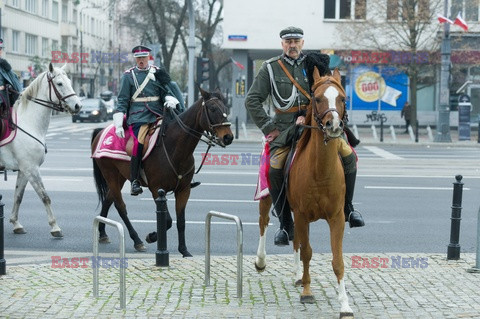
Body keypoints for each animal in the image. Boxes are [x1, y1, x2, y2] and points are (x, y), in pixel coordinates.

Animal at [0, 63, 81, 238]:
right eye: (59, 84)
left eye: (70, 81)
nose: (78, 106)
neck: (28, 123)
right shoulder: (32, 169)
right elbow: (45, 197)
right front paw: (55, 227)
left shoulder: (24, 170)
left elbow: (18, 196)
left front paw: (16, 223)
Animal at [91, 89, 234, 256]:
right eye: (212, 109)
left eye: (225, 108)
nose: (228, 137)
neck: (175, 147)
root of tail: (102, 131)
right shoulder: (157, 190)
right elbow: (167, 221)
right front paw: (152, 236)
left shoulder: (184, 190)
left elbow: (181, 221)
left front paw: (184, 250)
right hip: (111, 174)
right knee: (120, 206)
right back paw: (137, 240)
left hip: (120, 176)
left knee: (108, 200)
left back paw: (102, 233)